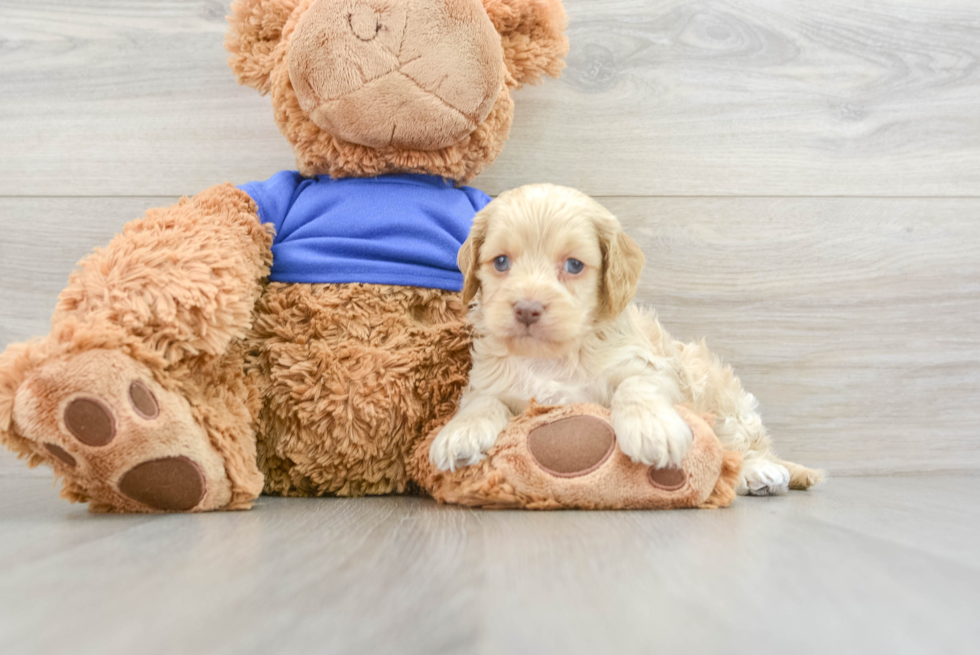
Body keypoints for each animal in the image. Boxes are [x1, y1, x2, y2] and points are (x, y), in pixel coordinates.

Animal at [432, 182, 824, 494]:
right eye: (501, 262)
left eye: (574, 265)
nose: (527, 309)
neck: (551, 359)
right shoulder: (488, 382)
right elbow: (481, 401)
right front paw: (459, 433)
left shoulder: (651, 366)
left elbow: (635, 385)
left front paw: (651, 428)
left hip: (719, 395)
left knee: (743, 445)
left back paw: (758, 470)